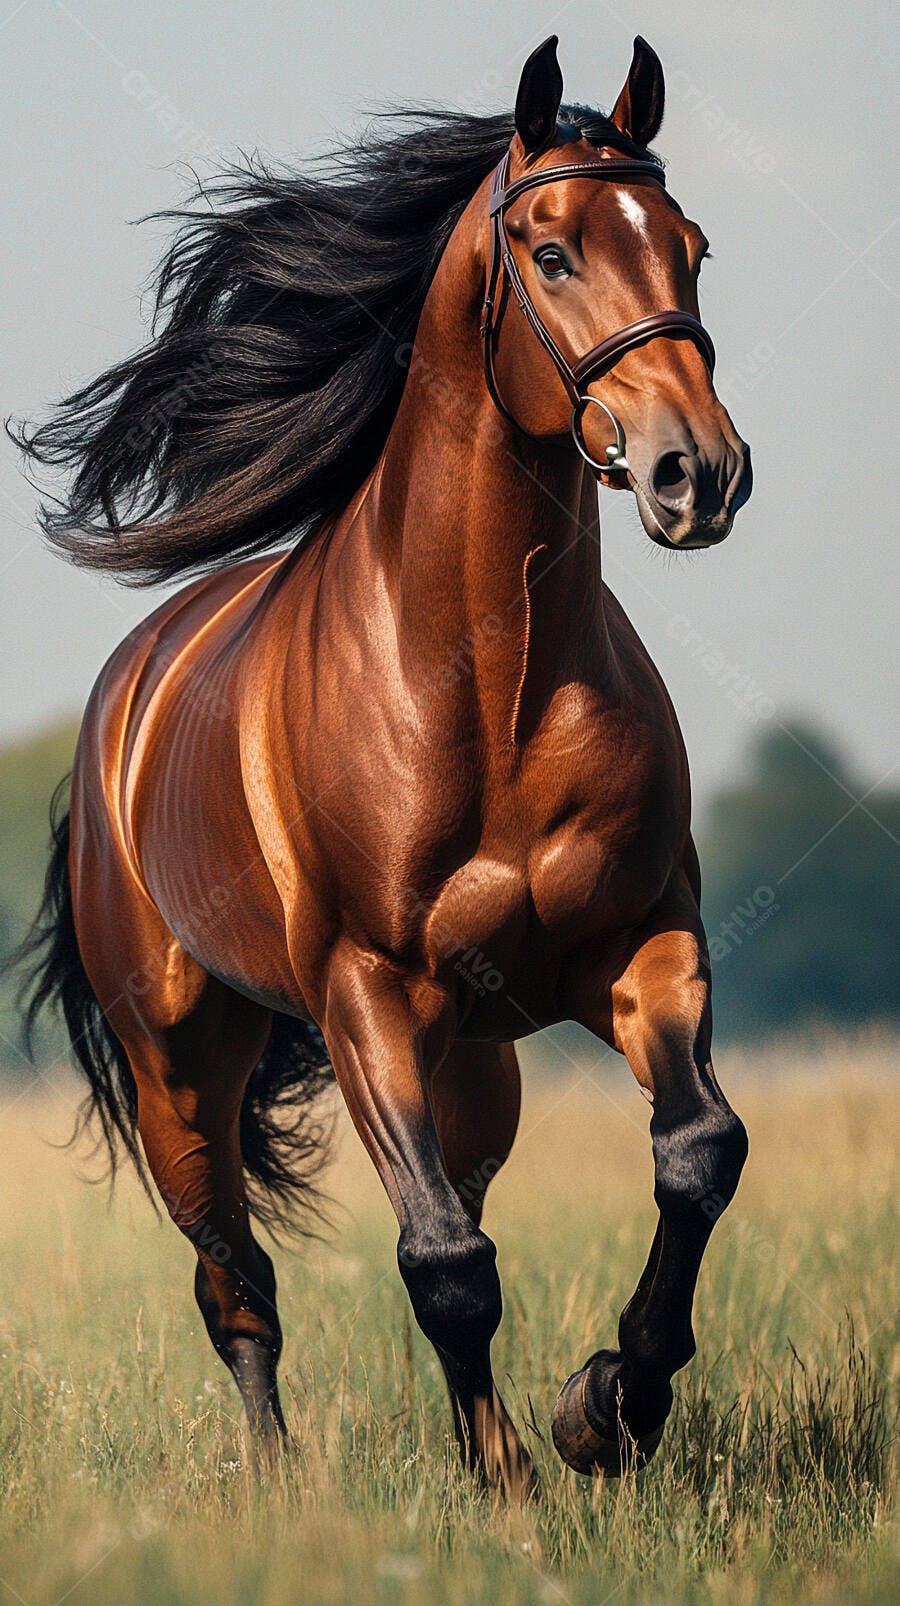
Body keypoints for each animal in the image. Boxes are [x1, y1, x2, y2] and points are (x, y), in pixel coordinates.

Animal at [18, 36, 752, 1497]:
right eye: (550, 249)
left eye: (690, 246)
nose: (696, 473)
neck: (491, 673)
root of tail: (125, 695)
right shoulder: (371, 991)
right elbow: (444, 1264)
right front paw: (515, 1480)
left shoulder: (641, 940)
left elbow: (697, 1153)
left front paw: (609, 1402)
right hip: (185, 1062)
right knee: (237, 1282)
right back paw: (278, 1485)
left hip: (477, 1063)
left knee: (447, 1197)